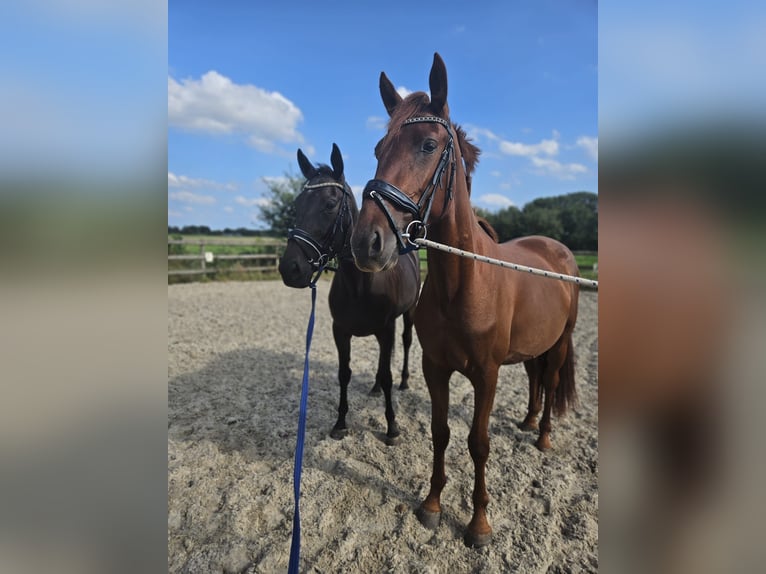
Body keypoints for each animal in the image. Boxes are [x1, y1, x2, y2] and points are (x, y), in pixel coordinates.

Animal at [280, 143, 420, 446]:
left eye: (330, 204)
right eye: (296, 204)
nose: (290, 269)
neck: (361, 283)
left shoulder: (386, 328)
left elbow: (387, 373)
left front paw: (392, 427)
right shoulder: (340, 331)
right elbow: (344, 374)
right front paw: (340, 423)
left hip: (409, 313)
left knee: (404, 344)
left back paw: (404, 381)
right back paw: (375, 388)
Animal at [352, 54, 580, 548]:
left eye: (428, 144)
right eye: (379, 148)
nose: (366, 242)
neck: (462, 284)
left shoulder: (486, 375)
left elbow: (478, 442)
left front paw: (479, 523)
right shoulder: (434, 368)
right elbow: (440, 433)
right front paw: (432, 505)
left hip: (560, 343)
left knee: (551, 380)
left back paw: (543, 436)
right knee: (535, 378)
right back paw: (529, 421)